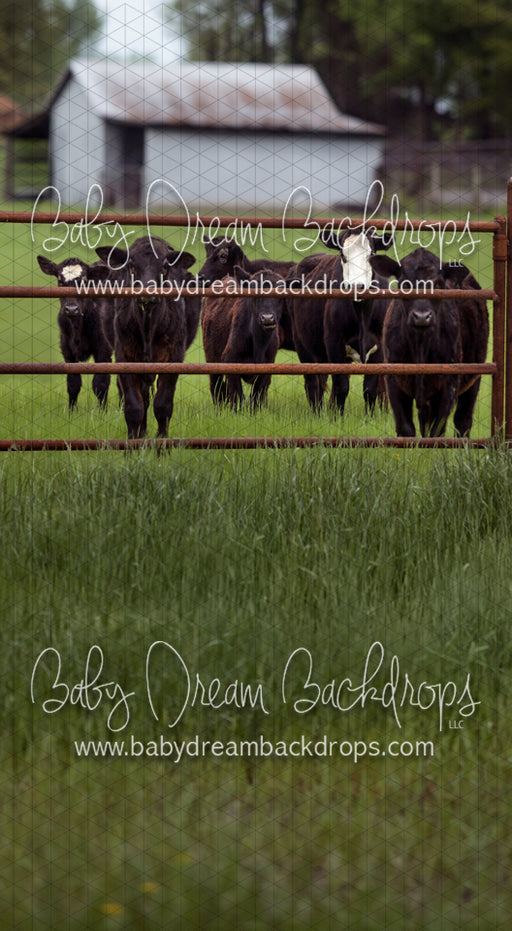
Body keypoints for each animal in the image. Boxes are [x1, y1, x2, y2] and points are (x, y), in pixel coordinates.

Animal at [36, 255, 112, 409]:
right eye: (60, 281)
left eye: (85, 282)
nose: (71, 309)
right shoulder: (67, 349)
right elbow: (73, 383)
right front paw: (72, 412)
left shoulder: (103, 348)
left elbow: (100, 383)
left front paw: (102, 412)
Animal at [94, 236, 200, 439]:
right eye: (131, 265)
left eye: (165, 265)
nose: (147, 295)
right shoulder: (124, 356)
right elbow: (134, 406)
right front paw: (132, 442)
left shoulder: (174, 357)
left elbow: (163, 405)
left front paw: (162, 442)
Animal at [201, 267, 285, 409]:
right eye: (253, 290)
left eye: (280, 291)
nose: (267, 318)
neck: (259, 343)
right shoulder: (230, 360)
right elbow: (237, 395)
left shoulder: (268, 366)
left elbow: (257, 396)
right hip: (211, 358)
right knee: (216, 386)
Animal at [286, 230, 393, 413]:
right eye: (343, 255)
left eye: (371, 254)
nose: (357, 286)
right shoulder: (334, 342)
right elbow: (341, 386)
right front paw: (337, 417)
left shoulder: (378, 346)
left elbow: (370, 388)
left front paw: (369, 417)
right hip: (302, 344)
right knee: (313, 384)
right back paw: (317, 413)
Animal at [370, 247, 489, 437]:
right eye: (405, 284)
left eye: (438, 284)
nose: (421, 316)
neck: (420, 345)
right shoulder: (394, 382)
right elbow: (406, 427)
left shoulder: (448, 386)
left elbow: (437, 429)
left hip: (473, 378)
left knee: (463, 420)